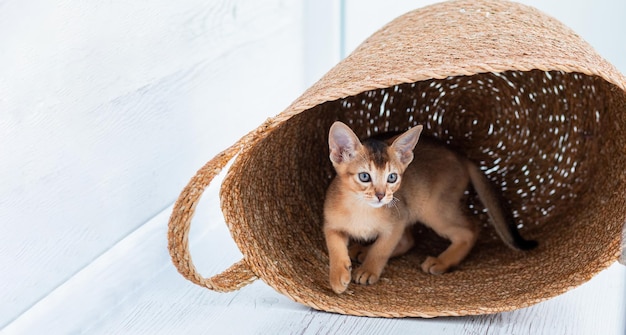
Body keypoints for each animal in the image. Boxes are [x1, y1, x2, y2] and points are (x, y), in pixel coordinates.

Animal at [322, 122, 536, 296]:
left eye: (392, 177)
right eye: (364, 176)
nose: (382, 195)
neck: (362, 209)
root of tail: (460, 155)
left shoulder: (396, 223)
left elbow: (381, 249)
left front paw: (368, 270)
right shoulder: (330, 224)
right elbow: (335, 247)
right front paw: (338, 276)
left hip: (433, 209)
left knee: (470, 230)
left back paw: (441, 262)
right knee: (409, 240)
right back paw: (362, 251)